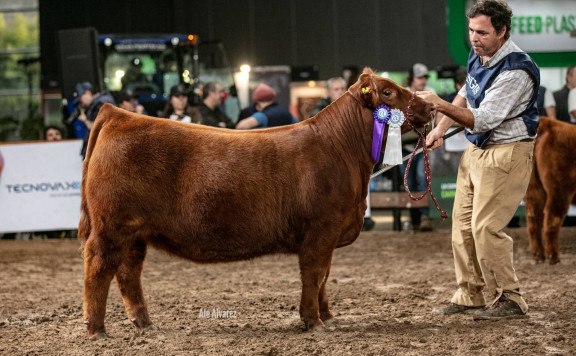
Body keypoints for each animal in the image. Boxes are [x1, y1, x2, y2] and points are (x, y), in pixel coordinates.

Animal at [79, 67, 434, 340]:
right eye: (387, 92)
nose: (430, 107)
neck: (342, 148)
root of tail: (117, 114)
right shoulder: (321, 229)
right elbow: (315, 274)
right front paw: (313, 321)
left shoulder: (328, 234)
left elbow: (324, 277)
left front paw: (327, 316)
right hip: (112, 227)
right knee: (98, 267)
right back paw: (97, 330)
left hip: (134, 233)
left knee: (128, 273)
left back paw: (145, 325)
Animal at [528, 117, 576, 264]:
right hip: (560, 188)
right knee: (552, 218)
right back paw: (553, 257)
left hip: (533, 188)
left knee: (534, 218)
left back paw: (538, 255)